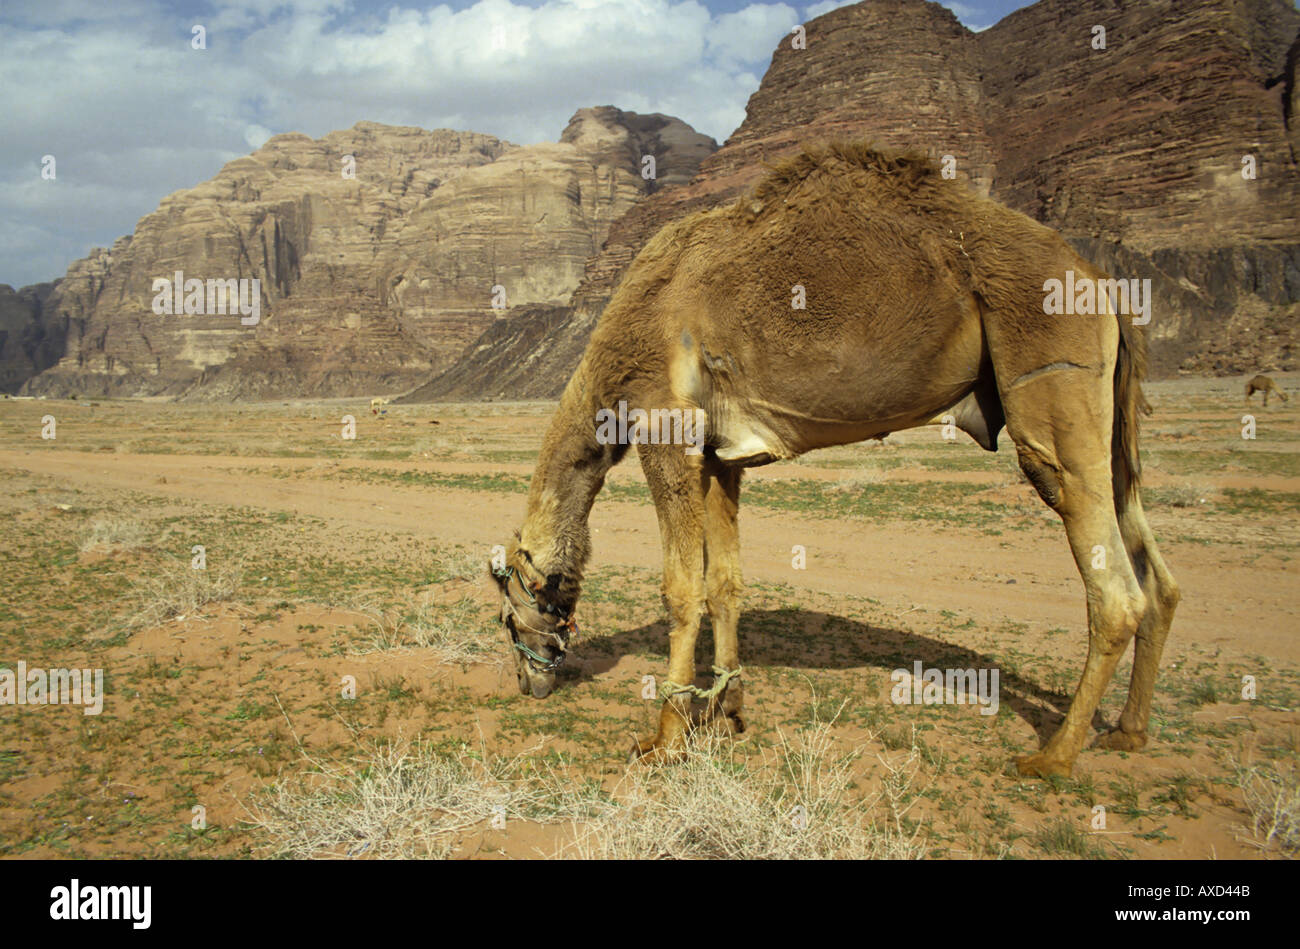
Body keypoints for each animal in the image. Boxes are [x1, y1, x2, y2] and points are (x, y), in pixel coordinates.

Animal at [488, 142, 1180, 774]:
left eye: (507, 619)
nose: (529, 682)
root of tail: (1104, 285)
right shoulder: (721, 456)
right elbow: (725, 583)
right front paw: (727, 710)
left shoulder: (667, 429)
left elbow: (682, 590)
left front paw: (666, 737)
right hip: (1108, 428)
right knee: (1157, 574)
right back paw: (1128, 731)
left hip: (1052, 375)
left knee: (1112, 585)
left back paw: (1053, 757)